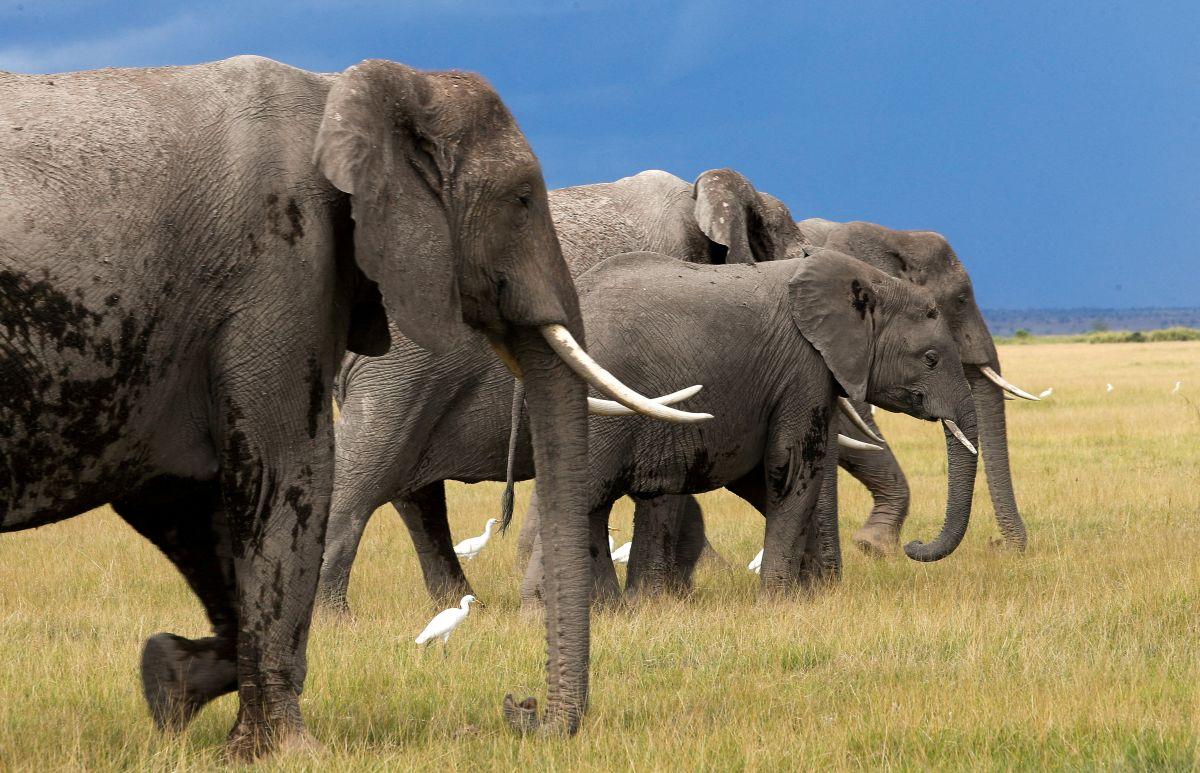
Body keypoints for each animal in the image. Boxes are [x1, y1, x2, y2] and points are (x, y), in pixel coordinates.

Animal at [0, 56, 698, 754]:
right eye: (523, 199)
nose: (519, 706)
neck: (342, 91)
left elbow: (177, 495)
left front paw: (169, 681)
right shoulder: (281, 264)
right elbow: (287, 473)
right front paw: (286, 750)